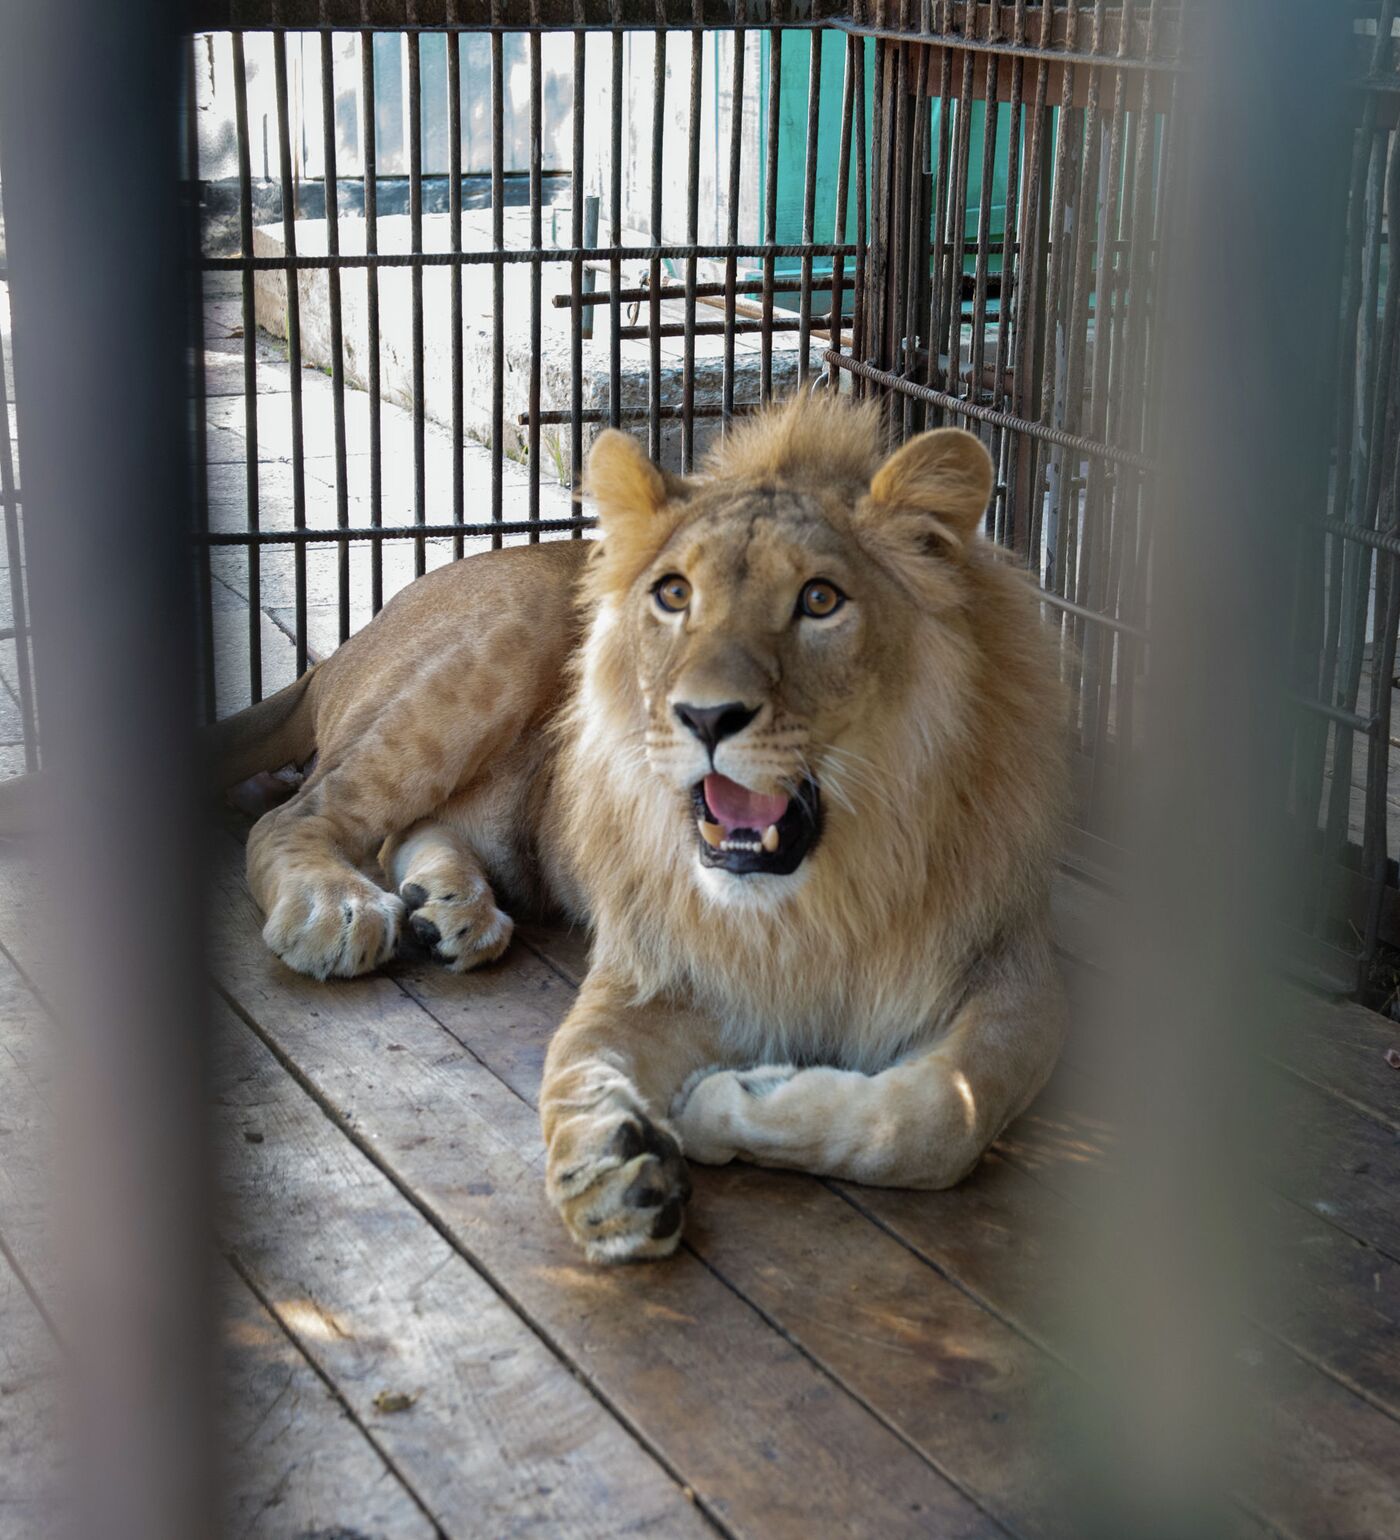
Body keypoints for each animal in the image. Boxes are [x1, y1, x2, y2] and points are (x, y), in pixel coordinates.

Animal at [221, 397, 1071, 1262]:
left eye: (820, 600)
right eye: (673, 594)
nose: (705, 716)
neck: (820, 890)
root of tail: (338, 653)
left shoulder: (1018, 967)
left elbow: (938, 1118)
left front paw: (722, 1102)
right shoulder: (654, 965)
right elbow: (576, 1058)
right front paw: (608, 1167)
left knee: (408, 832)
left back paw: (449, 908)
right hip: (496, 646)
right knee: (296, 815)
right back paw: (338, 909)